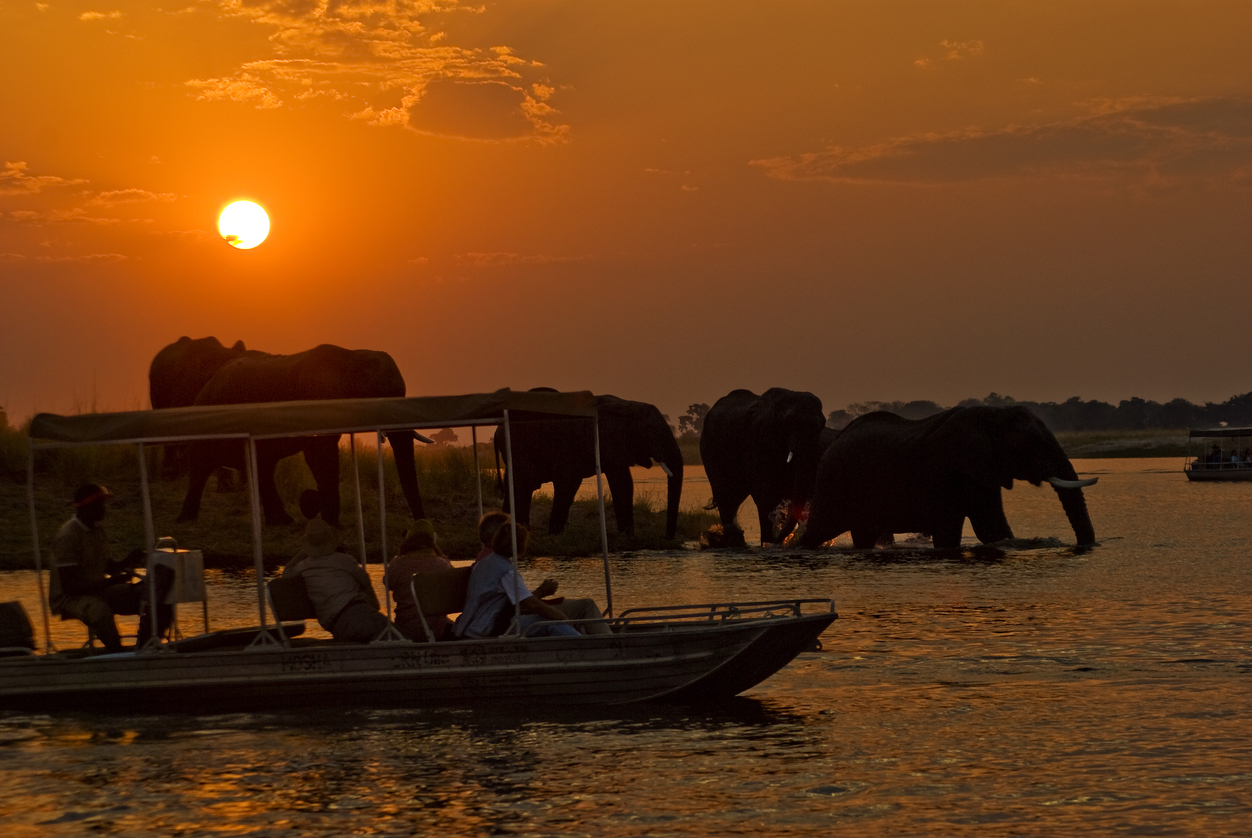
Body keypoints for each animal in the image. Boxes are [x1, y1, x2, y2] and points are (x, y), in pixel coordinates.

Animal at [147, 335, 425, 526]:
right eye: (383, 396)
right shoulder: (316, 400)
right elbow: (319, 456)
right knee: (204, 463)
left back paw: (282, 522)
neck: (352, 357)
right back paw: (186, 520)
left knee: (262, 467)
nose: (420, 527)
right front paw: (330, 520)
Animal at [493, 390, 686, 536]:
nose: (666, 538)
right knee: (521, 485)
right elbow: (568, 483)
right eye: (650, 432)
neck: (627, 404)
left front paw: (627, 537)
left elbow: (623, 483)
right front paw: (555, 536)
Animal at [701, 388, 826, 546]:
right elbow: (765, 494)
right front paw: (769, 542)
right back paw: (734, 542)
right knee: (726, 496)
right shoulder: (756, 441)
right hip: (709, 451)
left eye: (821, 425)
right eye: (790, 422)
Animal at [801, 403, 1096, 548]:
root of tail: (837, 438)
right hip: (833, 481)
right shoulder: (945, 470)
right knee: (817, 531)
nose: (1085, 547)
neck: (993, 416)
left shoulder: (982, 475)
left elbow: (992, 530)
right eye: (1032, 442)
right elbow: (948, 533)